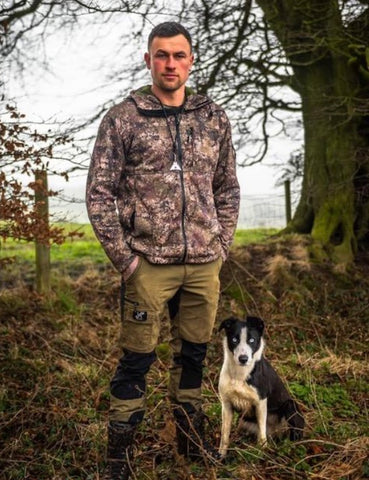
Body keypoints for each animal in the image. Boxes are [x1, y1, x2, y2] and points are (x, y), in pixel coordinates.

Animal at [217, 316, 304, 458]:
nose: (243, 359)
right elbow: (224, 435)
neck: (240, 375)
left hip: (290, 406)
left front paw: (261, 453)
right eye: (234, 340)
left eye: (252, 340)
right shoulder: (226, 405)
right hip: (243, 422)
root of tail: (275, 433)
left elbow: (262, 435)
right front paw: (220, 456)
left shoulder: (261, 402)